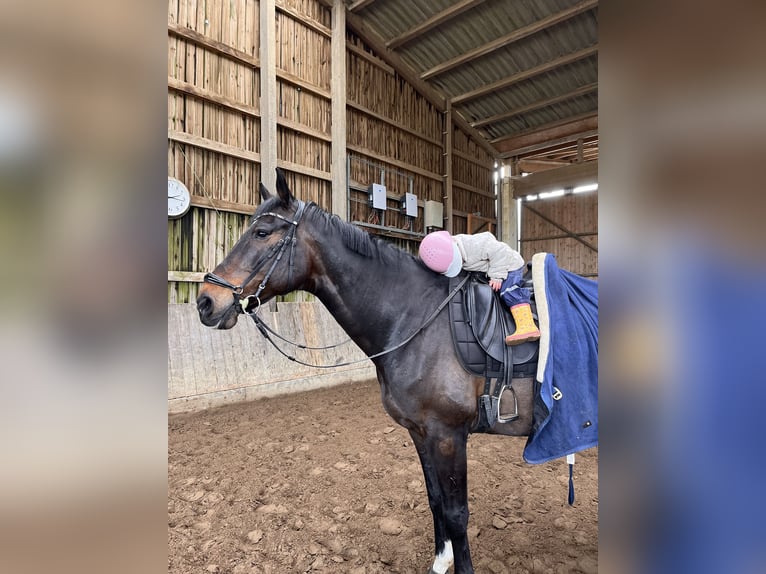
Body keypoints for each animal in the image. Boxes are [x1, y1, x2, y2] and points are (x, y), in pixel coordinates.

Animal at [195, 171, 536, 574]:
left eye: (262, 232)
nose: (205, 301)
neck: (418, 318)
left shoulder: (448, 436)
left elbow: (456, 514)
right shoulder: (421, 433)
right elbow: (435, 500)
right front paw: (440, 561)